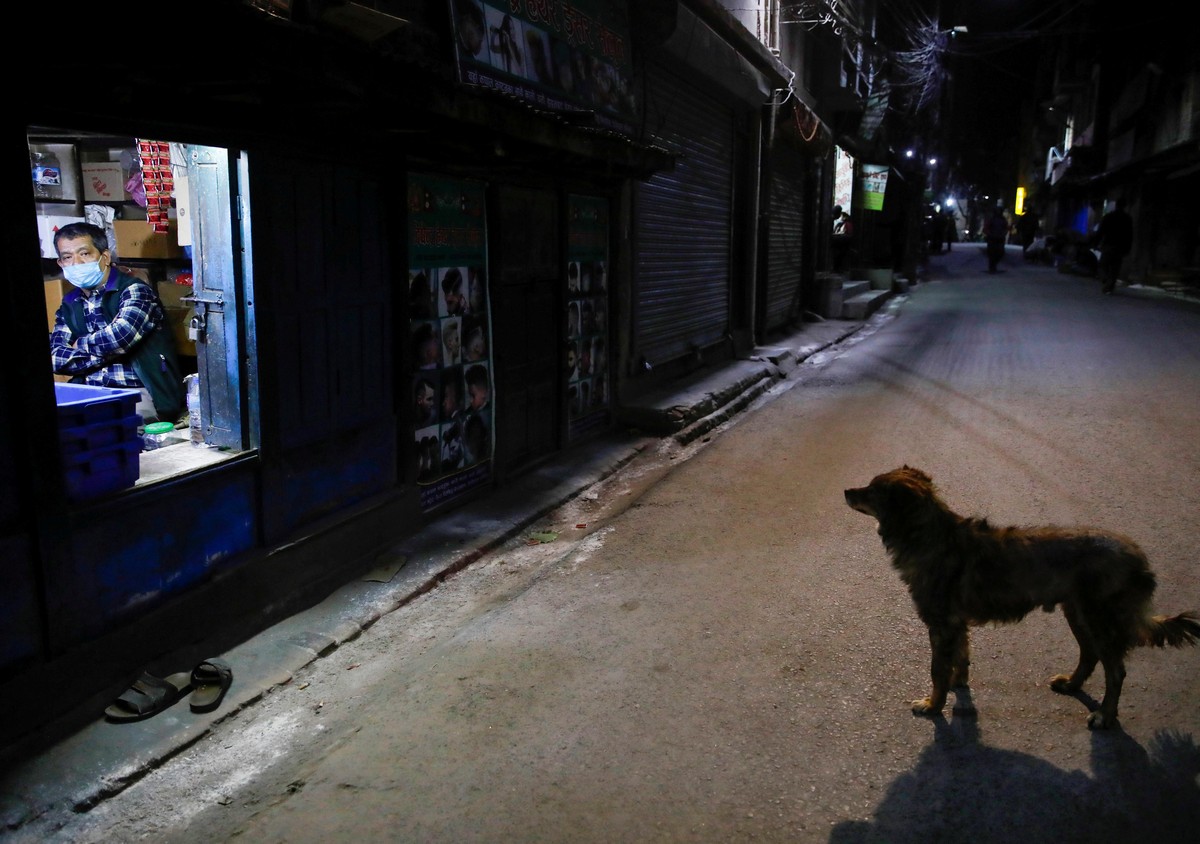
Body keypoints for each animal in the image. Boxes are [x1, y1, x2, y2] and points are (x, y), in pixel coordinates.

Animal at [844, 465, 1200, 729]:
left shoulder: (941, 624)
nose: (846, 491)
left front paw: (933, 705)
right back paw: (1072, 685)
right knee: (1089, 654)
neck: (927, 533)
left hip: (1097, 617)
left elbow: (937, 670)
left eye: (872, 490)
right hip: (1077, 612)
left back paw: (1105, 715)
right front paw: (959, 684)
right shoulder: (956, 624)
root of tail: (1138, 556)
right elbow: (961, 657)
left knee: (1115, 671)